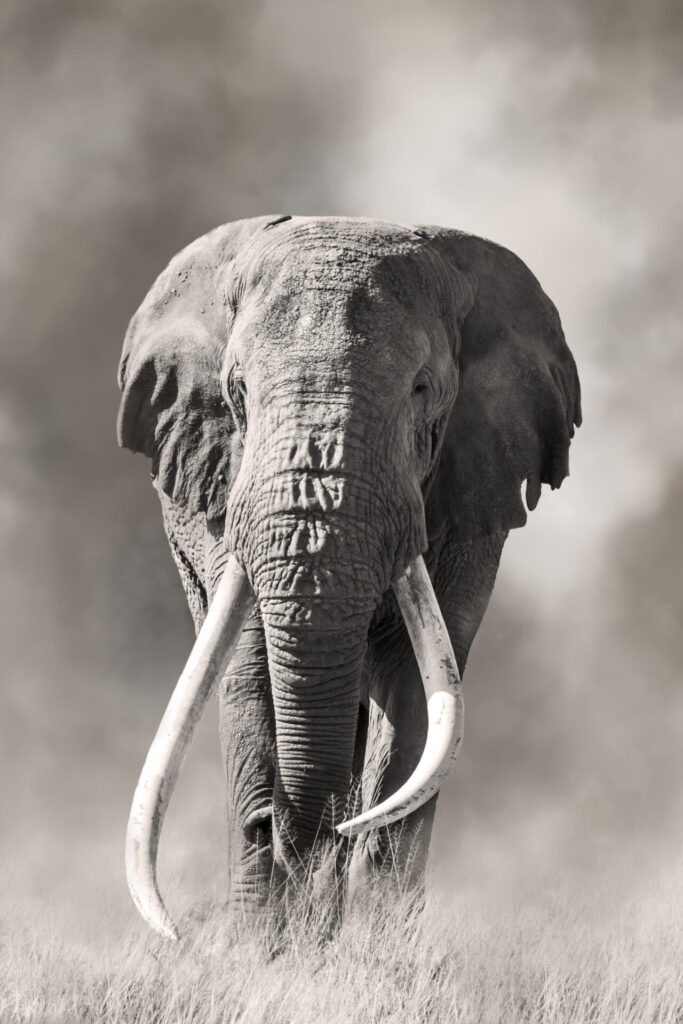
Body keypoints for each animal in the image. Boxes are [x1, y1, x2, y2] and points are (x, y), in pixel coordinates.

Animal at [117, 215, 581, 941]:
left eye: (422, 391)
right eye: (237, 392)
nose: (275, 825)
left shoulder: (469, 495)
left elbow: (418, 694)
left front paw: (375, 943)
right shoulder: (222, 488)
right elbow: (249, 667)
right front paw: (262, 945)